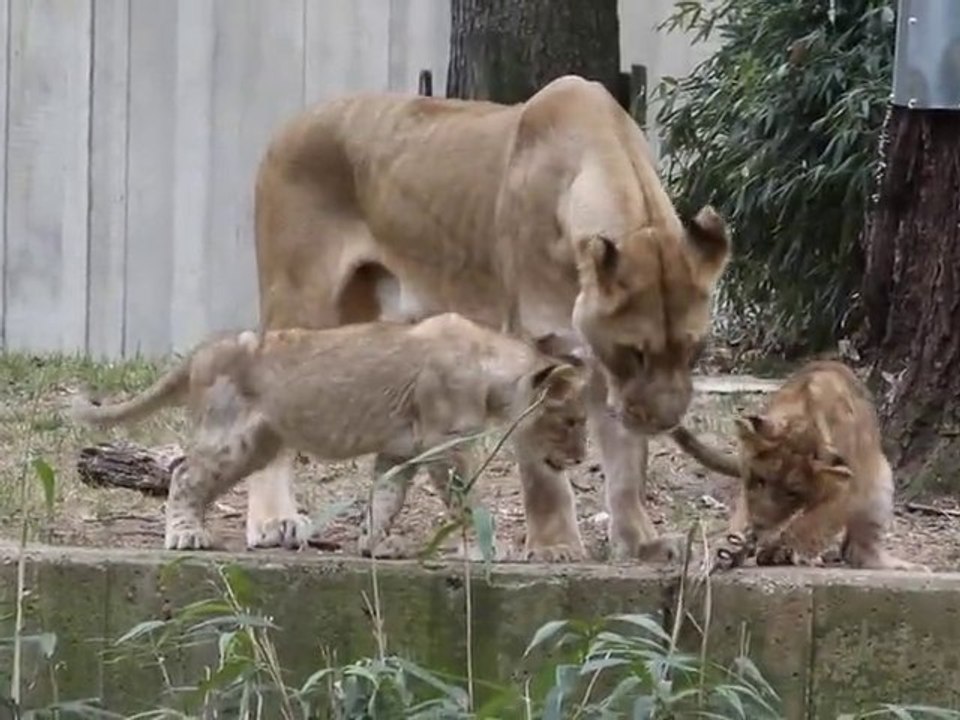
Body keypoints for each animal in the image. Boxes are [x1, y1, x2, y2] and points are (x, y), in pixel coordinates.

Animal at [69, 313, 588, 552]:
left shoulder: (401, 450)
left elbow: (385, 500)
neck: (493, 370)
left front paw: (376, 547)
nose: (582, 458)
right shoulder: (446, 445)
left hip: (257, 445)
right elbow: (467, 500)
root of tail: (204, 351)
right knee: (182, 476)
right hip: (230, 436)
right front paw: (488, 547)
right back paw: (185, 536)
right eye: (572, 420)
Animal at [247, 74, 731, 561]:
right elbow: (542, 465)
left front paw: (642, 543)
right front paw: (554, 545)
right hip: (302, 300)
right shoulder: (542, 344)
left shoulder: (607, 374)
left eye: (694, 351)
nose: (665, 422)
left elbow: (628, 463)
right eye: (636, 352)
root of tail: (290, 124)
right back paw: (273, 522)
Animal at [670, 361, 929, 572]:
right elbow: (745, 513)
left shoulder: (851, 485)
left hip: (881, 479)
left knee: (858, 550)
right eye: (760, 480)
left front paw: (777, 550)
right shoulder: (748, 484)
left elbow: (809, 524)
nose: (760, 524)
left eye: (792, 493)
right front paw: (730, 547)